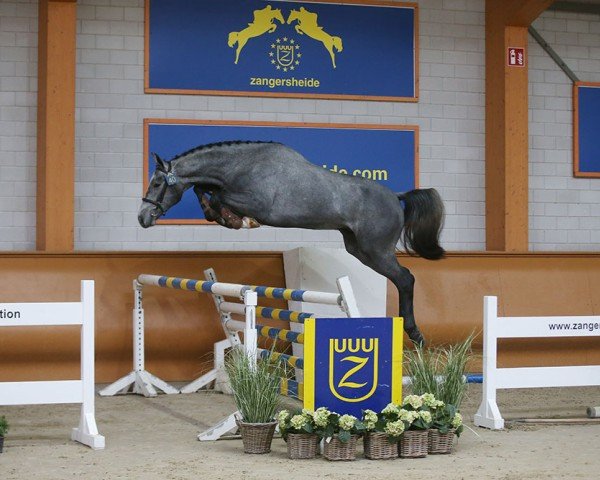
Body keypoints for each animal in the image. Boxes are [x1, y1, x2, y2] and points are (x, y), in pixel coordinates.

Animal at [137, 140, 446, 344]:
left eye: (156, 184)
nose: (142, 218)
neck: (240, 166)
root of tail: (396, 196)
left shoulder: (257, 203)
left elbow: (218, 197)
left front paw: (239, 221)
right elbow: (206, 192)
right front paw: (225, 216)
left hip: (377, 250)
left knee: (405, 279)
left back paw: (414, 333)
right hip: (359, 249)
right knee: (401, 278)